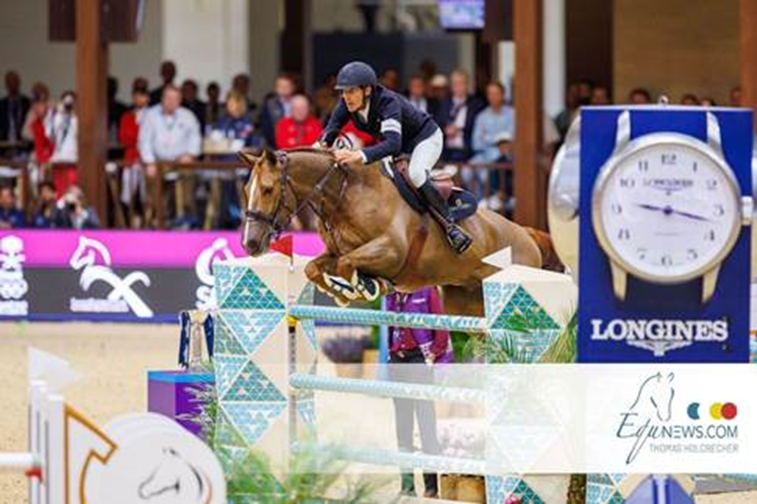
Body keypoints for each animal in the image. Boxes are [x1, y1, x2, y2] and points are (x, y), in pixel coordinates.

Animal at [239, 148, 545, 316]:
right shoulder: (334, 252)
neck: (344, 195)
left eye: (267, 189)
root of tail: (527, 234)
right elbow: (314, 268)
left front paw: (366, 287)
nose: (250, 244)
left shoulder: (390, 250)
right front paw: (342, 292)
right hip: (465, 303)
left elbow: (347, 264)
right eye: (246, 189)